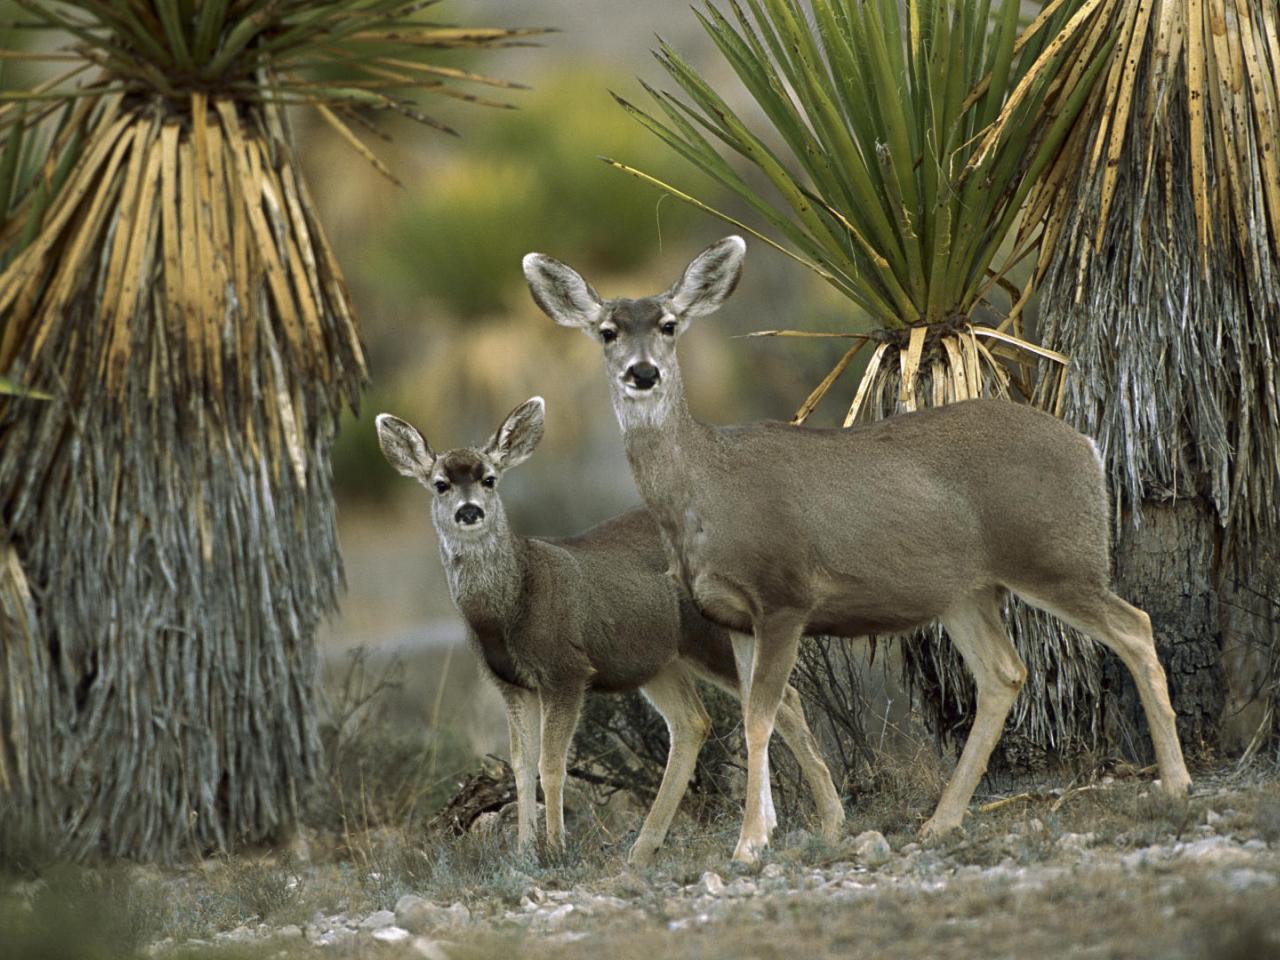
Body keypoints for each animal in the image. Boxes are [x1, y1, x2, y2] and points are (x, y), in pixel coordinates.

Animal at [373, 399, 844, 865]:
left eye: (489, 478)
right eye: (440, 484)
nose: (469, 511)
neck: (511, 603)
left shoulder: (566, 669)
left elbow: (551, 765)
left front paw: (556, 849)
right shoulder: (510, 684)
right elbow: (520, 767)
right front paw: (524, 853)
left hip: (712, 638)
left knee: (782, 698)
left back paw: (828, 820)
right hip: (658, 660)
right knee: (694, 720)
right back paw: (646, 846)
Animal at [524, 235, 1192, 865]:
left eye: (668, 324)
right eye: (608, 331)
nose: (642, 373)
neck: (707, 492)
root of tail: (1089, 446)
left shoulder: (785, 594)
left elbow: (761, 715)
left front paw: (749, 842)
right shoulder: (732, 615)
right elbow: (767, 713)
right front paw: (776, 830)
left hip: (1055, 556)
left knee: (1134, 627)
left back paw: (1176, 784)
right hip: (966, 592)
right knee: (1005, 673)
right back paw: (941, 820)